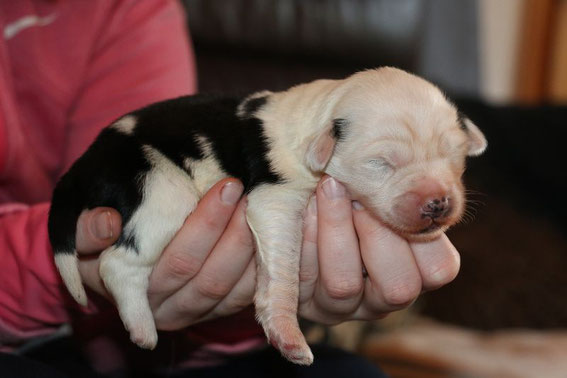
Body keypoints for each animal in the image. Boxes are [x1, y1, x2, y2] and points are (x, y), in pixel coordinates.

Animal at [47, 68, 488, 366]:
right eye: (382, 162)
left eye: (453, 155)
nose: (438, 203)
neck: (320, 119)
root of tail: (82, 165)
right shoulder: (276, 197)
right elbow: (283, 274)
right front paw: (290, 338)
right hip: (159, 190)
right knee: (117, 262)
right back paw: (142, 330)